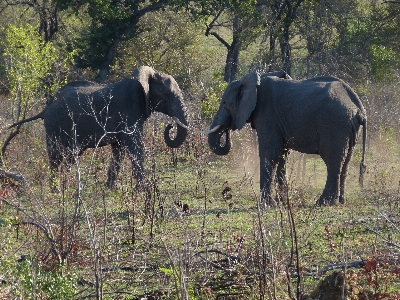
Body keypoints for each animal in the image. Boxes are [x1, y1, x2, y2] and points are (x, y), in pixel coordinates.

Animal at [10, 66, 189, 189]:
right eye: (167, 95)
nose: (170, 125)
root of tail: (46, 107)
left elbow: (119, 149)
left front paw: (110, 188)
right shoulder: (128, 110)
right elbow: (134, 145)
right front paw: (144, 189)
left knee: (69, 157)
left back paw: (65, 187)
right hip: (54, 126)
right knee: (55, 157)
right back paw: (55, 191)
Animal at [206, 71, 366, 206]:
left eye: (224, 103)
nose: (227, 131)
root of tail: (359, 107)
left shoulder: (267, 114)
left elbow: (270, 153)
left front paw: (265, 205)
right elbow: (282, 155)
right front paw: (281, 202)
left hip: (334, 123)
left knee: (332, 160)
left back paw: (324, 203)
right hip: (348, 127)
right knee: (346, 160)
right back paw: (341, 201)